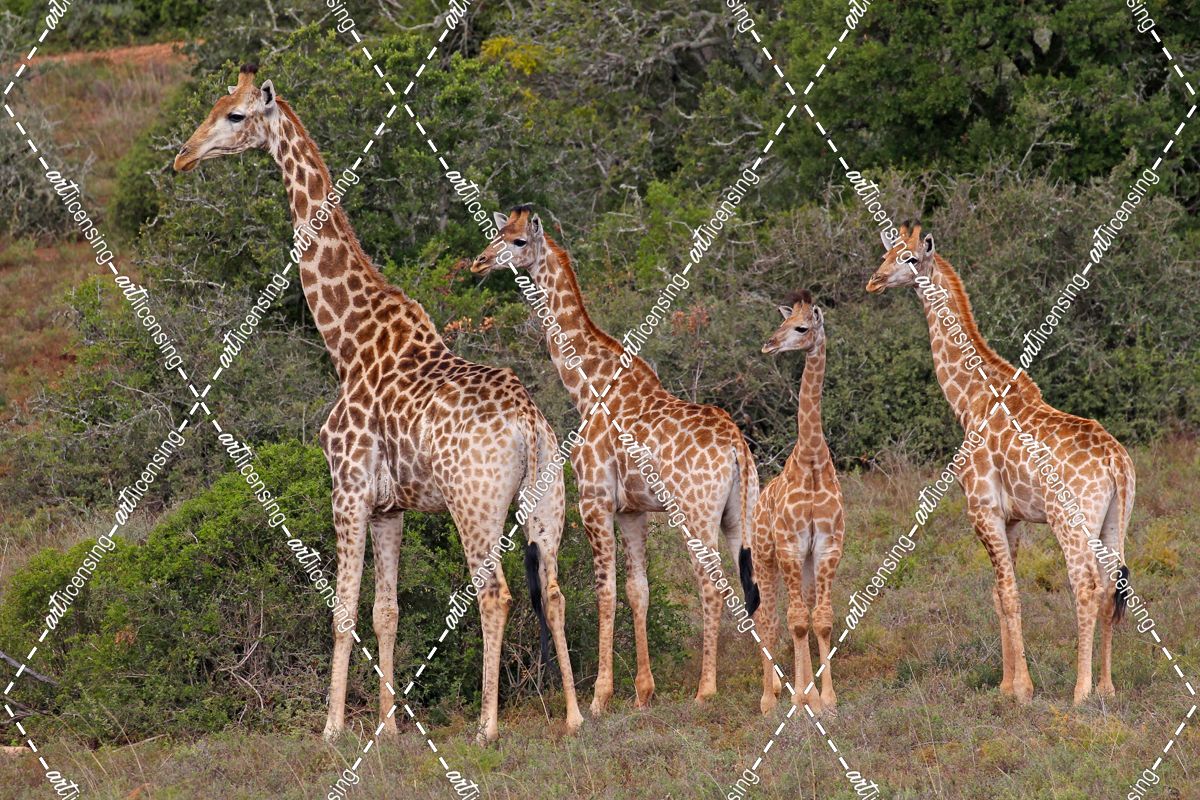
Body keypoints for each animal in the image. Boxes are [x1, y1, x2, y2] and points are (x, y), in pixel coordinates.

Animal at [173, 65, 583, 744]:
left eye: (235, 116)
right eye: (214, 104)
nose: (183, 156)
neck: (346, 339)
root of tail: (529, 425)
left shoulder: (348, 486)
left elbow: (341, 607)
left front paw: (332, 730)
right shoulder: (391, 506)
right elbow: (385, 610)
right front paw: (388, 731)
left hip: (474, 504)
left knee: (495, 593)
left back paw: (487, 727)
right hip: (547, 500)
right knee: (551, 589)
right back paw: (576, 716)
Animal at [470, 206, 760, 714]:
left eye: (519, 241)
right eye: (499, 233)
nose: (480, 262)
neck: (589, 387)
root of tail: (737, 448)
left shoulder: (595, 500)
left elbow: (605, 591)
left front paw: (600, 697)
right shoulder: (632, 511)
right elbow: (638, 590)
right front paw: (644, 692)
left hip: (696, 514)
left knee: (711, 584)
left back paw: (706, 690)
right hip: (738, 514)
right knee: (760, 578)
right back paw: (778, 688)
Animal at [866, 222, 1135, 704]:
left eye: (909, 258)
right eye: (886, 254)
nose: (874, 281)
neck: (969, 401)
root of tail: (1117, 464)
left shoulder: (983, 508)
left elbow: (1008, 594)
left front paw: (1022, 689)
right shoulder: (1011, 518)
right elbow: (999, 594)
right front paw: (1005, 685)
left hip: (1071, 521)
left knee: (1086, 585)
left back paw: (1081, 692)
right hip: (1115, 519)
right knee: (1111, 586)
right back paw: (1107, 687)